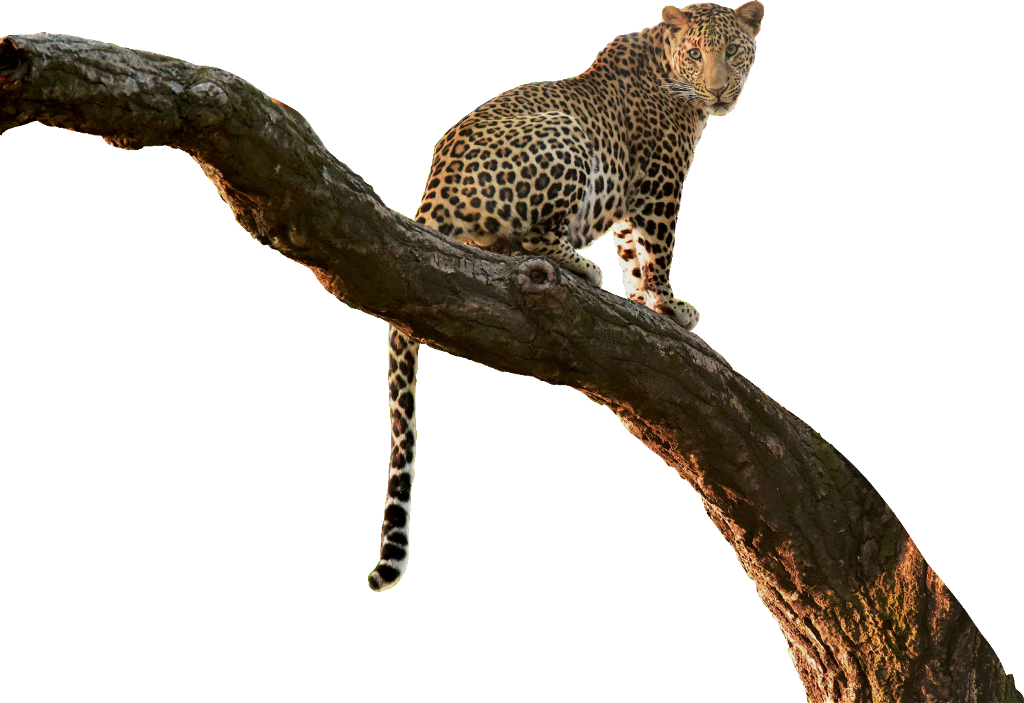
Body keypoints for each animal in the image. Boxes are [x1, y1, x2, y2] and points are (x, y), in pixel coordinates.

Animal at [369, 1, 767, 591]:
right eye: (697, 54)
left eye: (734, 51)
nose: (719, 89)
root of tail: (433, 191)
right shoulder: (658, 184)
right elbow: (658, 252)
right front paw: (668, 305)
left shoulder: (629, 201)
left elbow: (633, 257)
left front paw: (645, 306)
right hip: (565, 134)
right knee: (531, 241)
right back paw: (580, 266)